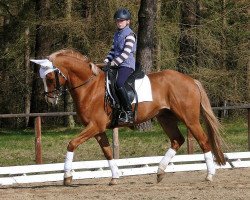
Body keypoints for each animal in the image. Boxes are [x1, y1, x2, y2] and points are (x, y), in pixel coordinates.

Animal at [32, 49, 225, 186]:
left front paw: (67, 176)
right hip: (165, 118)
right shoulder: (98, 129)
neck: (90, 87)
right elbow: (108, 152)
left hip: (189, 119)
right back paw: (160, 172)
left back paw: (209, 175)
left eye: (50, 77)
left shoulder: (95, 126)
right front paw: (115, 177)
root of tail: (191, 80)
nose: (50, 99)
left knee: (203, 141)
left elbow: (72, 143)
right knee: (177, 140)